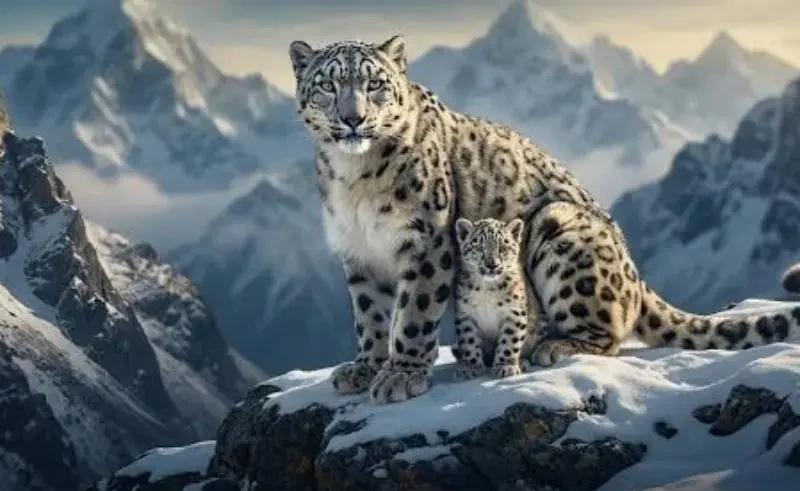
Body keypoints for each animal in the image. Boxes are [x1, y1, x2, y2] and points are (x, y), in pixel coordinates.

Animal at [451, 217, 545, 380]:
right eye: (479, 247)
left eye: (503, 247)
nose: (492, 265)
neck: (487, 288)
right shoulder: (466, 314)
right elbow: (469, 341)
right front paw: (471, 367)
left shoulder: (514, 314)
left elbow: (509, 342)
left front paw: (505, 367)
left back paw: (522, 362)